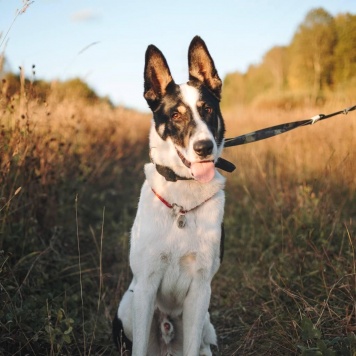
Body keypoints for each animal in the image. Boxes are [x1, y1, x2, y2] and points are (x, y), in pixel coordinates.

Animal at [114, 36, 229, 356]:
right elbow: (139, 348)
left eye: (207, 110)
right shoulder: (146, 285)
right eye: (176, 115)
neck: (183, 196)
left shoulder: (201, 289)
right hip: (128, 304)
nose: (204, 148)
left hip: (206, 323)